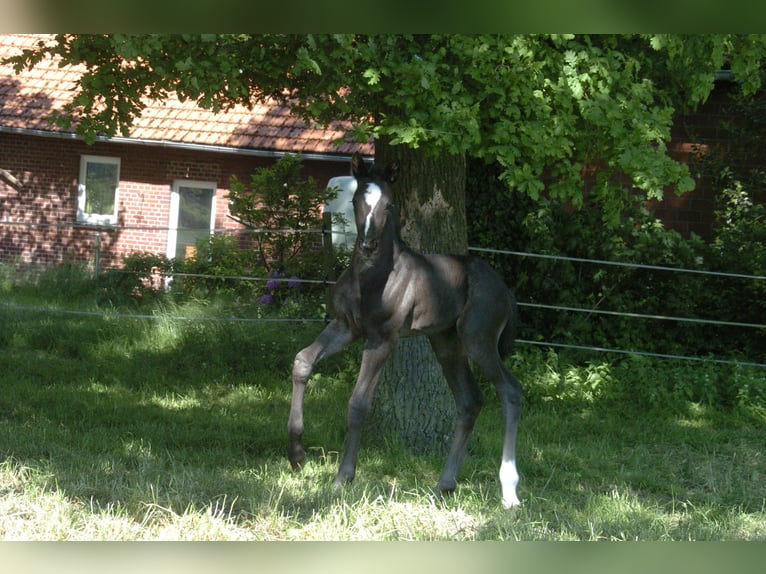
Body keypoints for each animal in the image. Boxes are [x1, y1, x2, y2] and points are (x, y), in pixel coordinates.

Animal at [292, 152, 524, 508]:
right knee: (470, 400)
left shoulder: (382, 339)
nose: (368, 245)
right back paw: (444, 484)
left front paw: (343, 477)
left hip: (479, 341)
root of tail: (505, 291)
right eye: (357, 199)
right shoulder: (346, 327)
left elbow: (358, 403)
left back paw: (509, 491)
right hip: (446, 343)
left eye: (389, 204)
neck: (371, 279)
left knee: (510, 392)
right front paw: (297, 455)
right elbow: (303, 361)